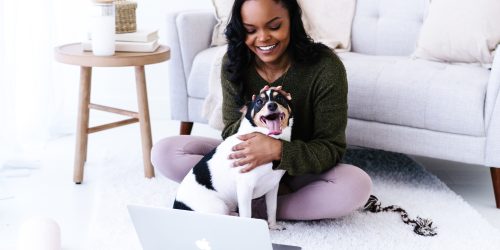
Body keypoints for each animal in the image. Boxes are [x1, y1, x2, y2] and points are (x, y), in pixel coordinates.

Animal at [173, 88, 292, 230]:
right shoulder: (245, 188)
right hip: (218, 206)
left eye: (279, 98)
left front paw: (273, 226)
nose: (272, 105)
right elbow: (247, 215)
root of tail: (177, 206)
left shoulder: (272, 187)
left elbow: (272, 208)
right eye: (259, 101)